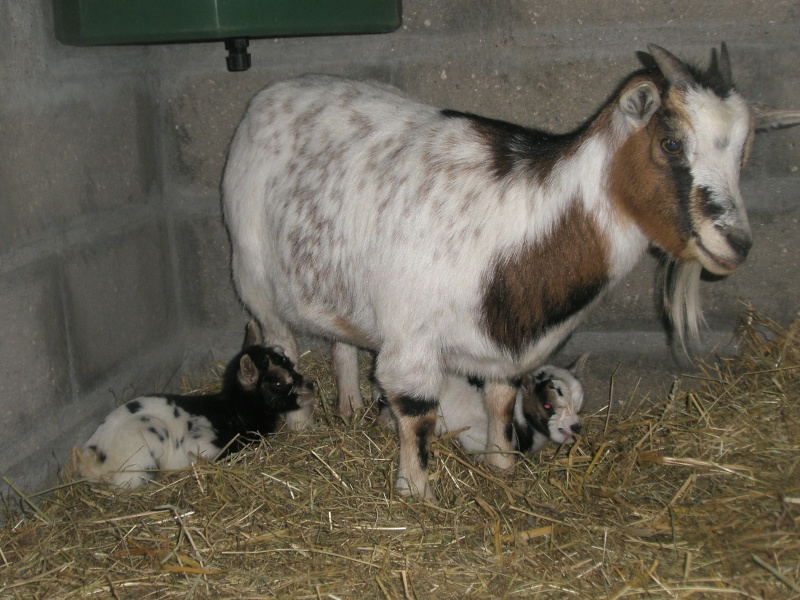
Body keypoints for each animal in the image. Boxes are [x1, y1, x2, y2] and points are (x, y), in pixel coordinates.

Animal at [220, 44, 800, 500]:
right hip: (253, 275)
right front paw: (416, 494)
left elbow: (500, 399)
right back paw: (301, 425)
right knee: (281, 342)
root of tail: (269, 95)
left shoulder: (506, 340)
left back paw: (348, 406)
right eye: (672, 143)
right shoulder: (411, 345)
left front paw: (500, 465)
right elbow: (417, 415)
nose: (737, 244)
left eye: (745, 153)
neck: (520, 228)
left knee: (340, 338)